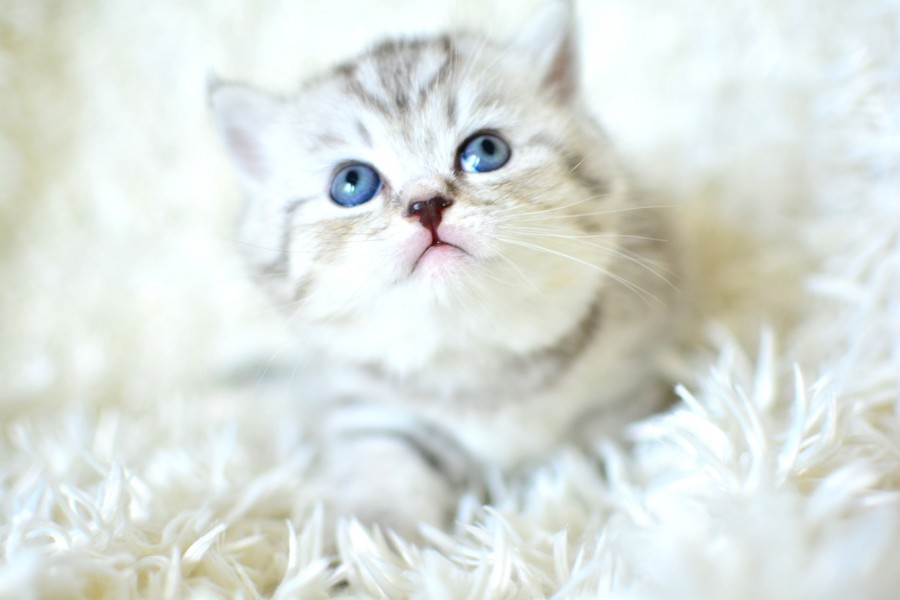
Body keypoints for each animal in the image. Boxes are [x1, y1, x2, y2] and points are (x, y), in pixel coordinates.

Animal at [210, 1, 674, 538]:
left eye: (486, 151)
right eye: (352, 183)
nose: (426, 204)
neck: (479, 364)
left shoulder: (624, 388)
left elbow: (597, 457)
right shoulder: (367, 405)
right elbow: (386, 467)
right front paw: (374, 543)